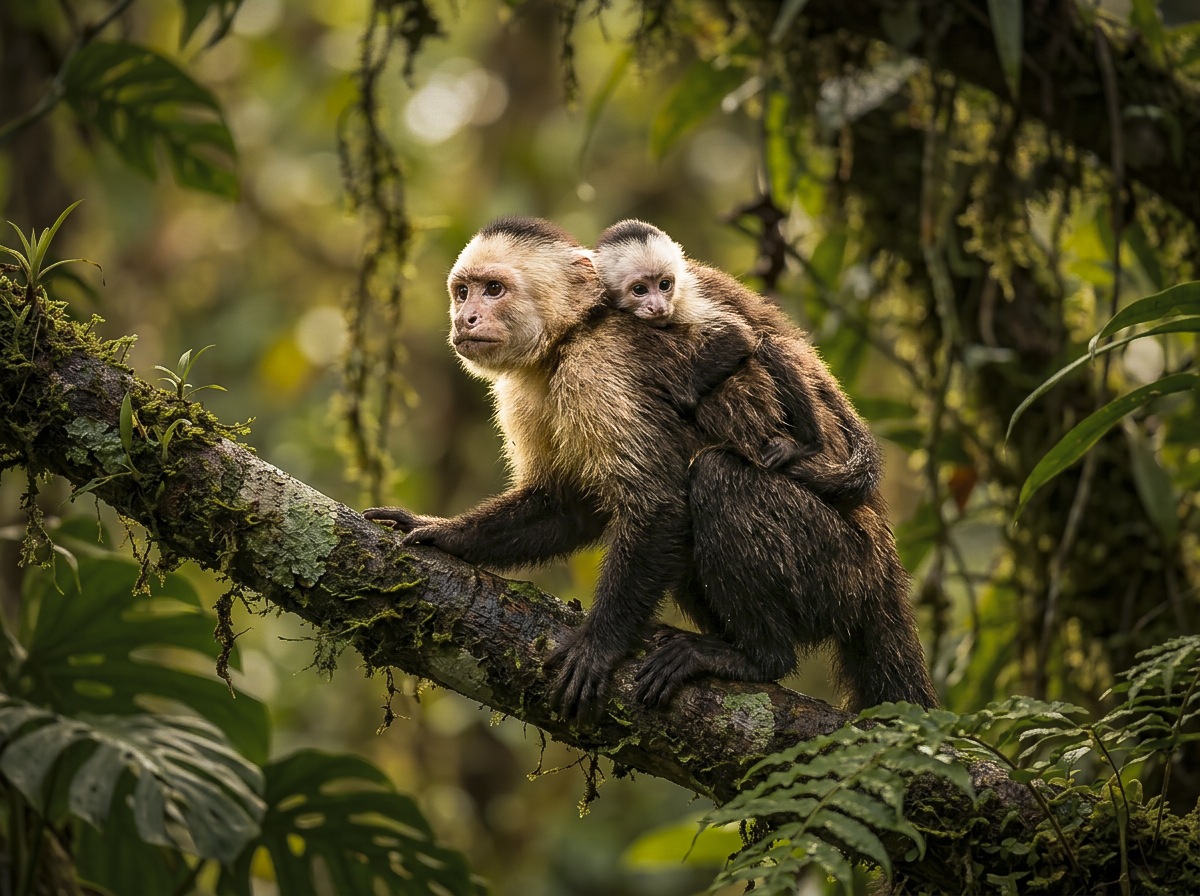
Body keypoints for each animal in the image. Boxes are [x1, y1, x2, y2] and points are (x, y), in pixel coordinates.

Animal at [593, 219, 881, 511]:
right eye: (640, 290)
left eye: (665, 285)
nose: (658, 306)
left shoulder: (687, 300)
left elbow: (738, 337)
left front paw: (679, 395)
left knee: (768, 347)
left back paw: (809, 444)